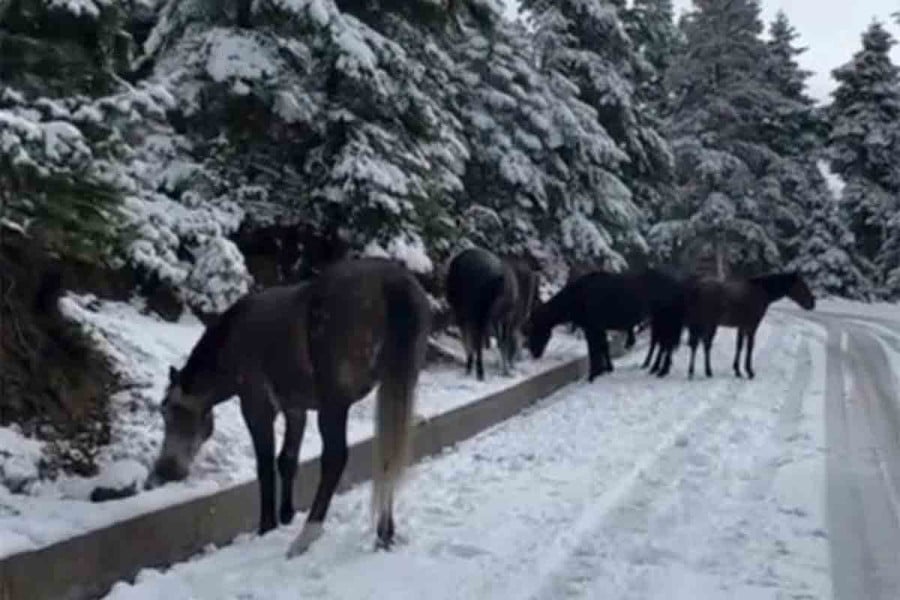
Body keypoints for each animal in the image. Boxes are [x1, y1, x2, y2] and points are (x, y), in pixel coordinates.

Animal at [145, 258, 432, 556]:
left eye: (167, 411)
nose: (165, 471)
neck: (232, 343)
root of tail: (393, 282)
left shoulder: (257, 407)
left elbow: (265, 465)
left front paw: (267, 526)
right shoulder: (296, 410)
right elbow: (287, 460)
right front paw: (286, 515)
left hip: (335, 404)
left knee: (335, 458)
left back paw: (307, 536)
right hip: (397, 385)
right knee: (388, 453)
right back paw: (384, 534)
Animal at [528, 268, 684, 380]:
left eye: (534, 329)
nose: (534, 353)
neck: (579, 296)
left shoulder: (591, 328)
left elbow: (594, 350)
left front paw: (593, 375)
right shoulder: (599, 328)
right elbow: (603, 347)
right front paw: (606, 369)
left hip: (665, 320)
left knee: (666, 345)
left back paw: (662, 370)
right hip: (660, 322)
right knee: (664, 345)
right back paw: (657, 368)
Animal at [684, 274, 820, 380]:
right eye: (801, 285)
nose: (812, 303)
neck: (760, 292)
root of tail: (698, 288)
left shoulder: (741, 327)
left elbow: (739, 346)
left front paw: (737, 370)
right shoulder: (752, 326)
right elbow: (749, 347)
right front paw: (749, 371)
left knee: (699, 345)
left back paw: (698, 372)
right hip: (708, 324)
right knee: (702, 345)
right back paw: (702, 371)